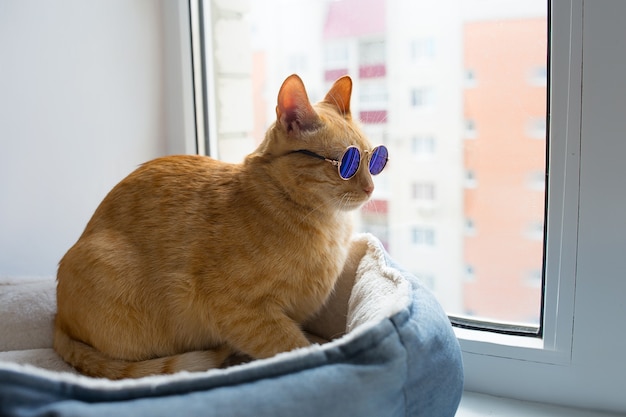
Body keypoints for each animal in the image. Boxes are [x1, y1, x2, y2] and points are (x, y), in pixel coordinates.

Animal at [53, 73, 386, 378]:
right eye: (347, 164)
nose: (371, 188)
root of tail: (57, 318)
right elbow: (296, 348)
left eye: (375, 161)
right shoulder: (241, 312)